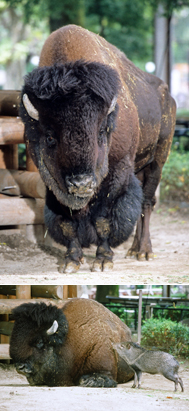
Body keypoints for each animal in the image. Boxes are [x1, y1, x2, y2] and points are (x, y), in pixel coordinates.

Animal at [19, 24, 176, 272]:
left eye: (102, 131)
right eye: (50, 137)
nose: (81, 183)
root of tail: (167, 96)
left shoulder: (118, 171)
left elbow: (104, 219)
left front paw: (103, 260)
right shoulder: (54, 183)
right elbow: (68, 221)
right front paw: (72, 261)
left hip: (158, 160)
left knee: (147, 203)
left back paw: (144, 252)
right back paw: (133, 250)